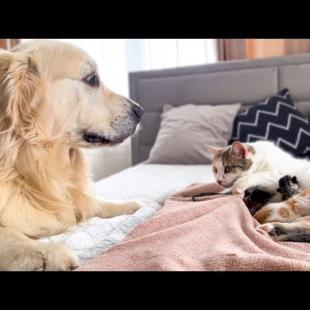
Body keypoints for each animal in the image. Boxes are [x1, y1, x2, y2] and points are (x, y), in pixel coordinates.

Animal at [0, 40, 144, 270]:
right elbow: (7, 233)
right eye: (92, 79)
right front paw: (42, 253)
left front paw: (127, 205)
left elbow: (93, 203)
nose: (140, 111)